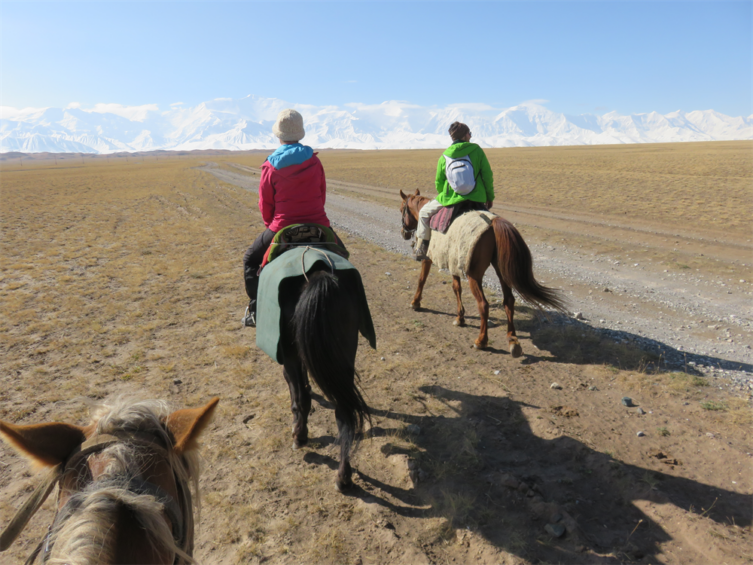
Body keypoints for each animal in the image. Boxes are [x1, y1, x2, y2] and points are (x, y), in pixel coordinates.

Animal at [399, 189, 565, 355]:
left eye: (402, 210)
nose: (404, 233)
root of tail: (493, 223)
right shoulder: (454, 262)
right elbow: (456, 288)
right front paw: (460, 318)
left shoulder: (428, 257)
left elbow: (422, 279)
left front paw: (415, 303)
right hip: (502, 272)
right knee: (509, 301)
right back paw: (512, 340)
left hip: (474, 275)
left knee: (483, 304)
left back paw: (481, 341)